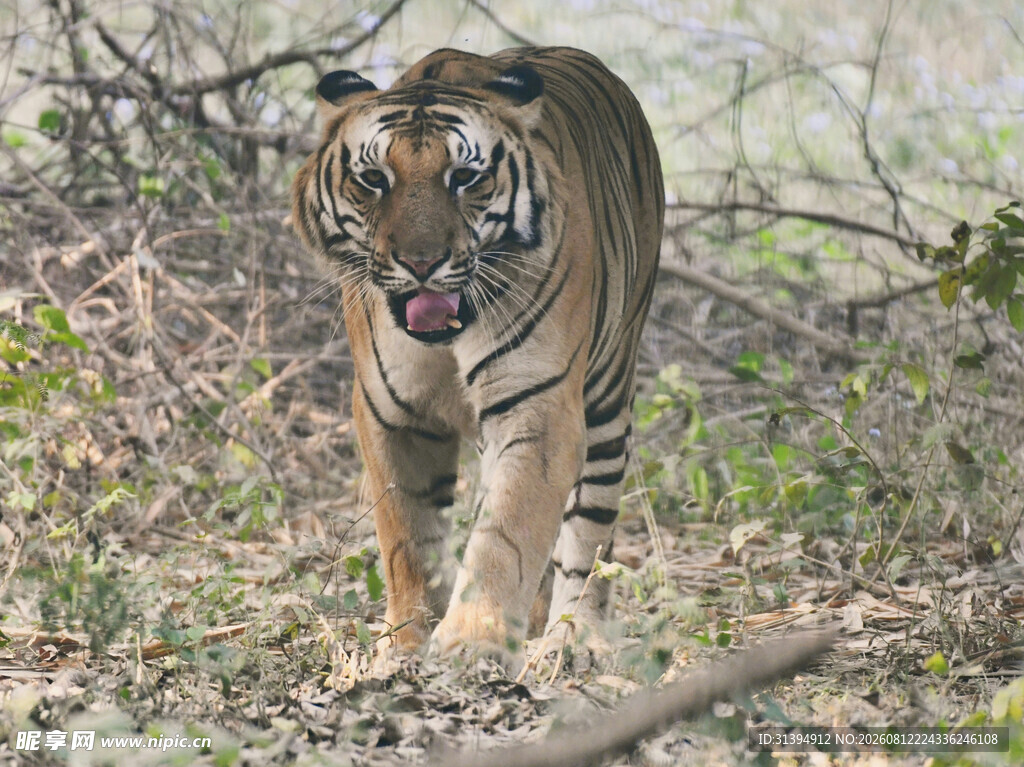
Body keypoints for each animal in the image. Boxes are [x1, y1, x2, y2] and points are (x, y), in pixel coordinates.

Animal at [291, 46, 664, 664]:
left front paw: (471, 642)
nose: (421, 261)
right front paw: (407, 642)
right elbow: (408, 537)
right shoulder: (390, 415)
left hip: (609, 398)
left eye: (464, 177)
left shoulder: (539, 406)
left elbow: (506, 534)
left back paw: (572, 638)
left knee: (589, 530)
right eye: (374, 179)